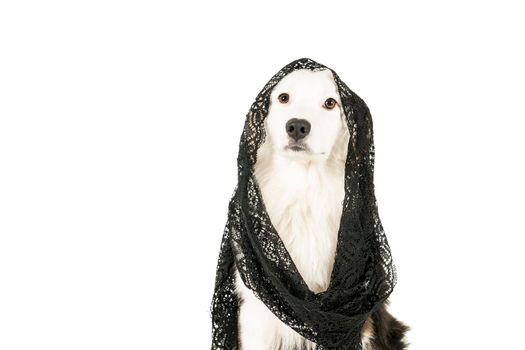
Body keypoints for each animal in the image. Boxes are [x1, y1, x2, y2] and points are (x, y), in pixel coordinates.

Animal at [231, 67, 408, 348]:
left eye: (330, 103)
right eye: (283, 97)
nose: (297, 126)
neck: (306, 190)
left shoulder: (352, 319)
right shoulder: (257, 313)